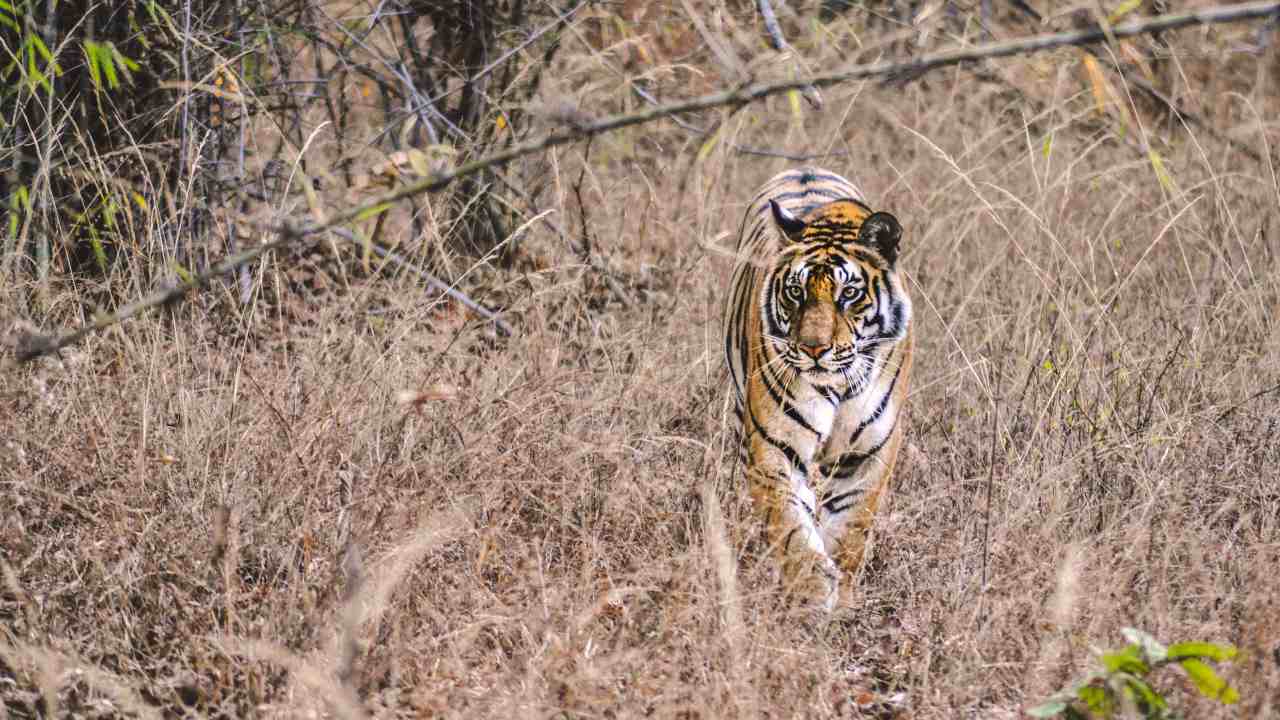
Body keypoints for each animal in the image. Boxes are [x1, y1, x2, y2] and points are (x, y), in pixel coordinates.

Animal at [723, 167, 913, 612]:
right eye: (796, 291)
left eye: (849, 294)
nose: (813, 349)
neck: (839, 384)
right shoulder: (774, 446)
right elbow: (790, 525)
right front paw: (811, 589)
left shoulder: (868, 454)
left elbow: (850, 528)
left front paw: (840, 594)